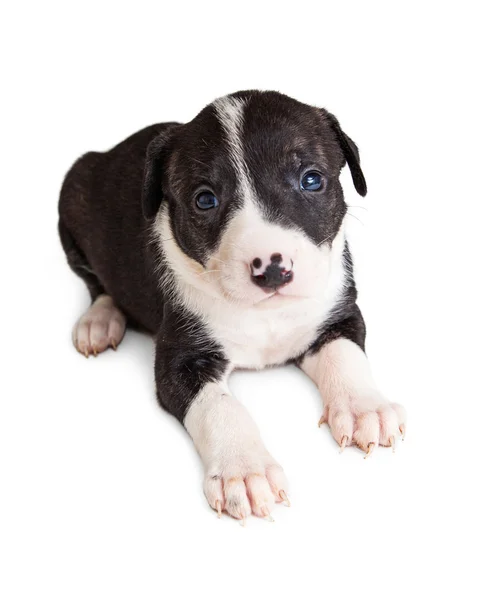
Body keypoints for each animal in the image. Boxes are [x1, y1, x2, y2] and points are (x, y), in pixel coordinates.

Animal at [58, 89, 406, 520]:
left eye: (312, 179)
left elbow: (346, 355)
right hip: (72, 197)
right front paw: (244, 469)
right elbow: (219, 407)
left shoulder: (339, 313)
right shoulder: (180, 361)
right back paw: (100, 320)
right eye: (205, 200)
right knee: (95, 282)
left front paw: (364, 408)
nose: (272, 268)